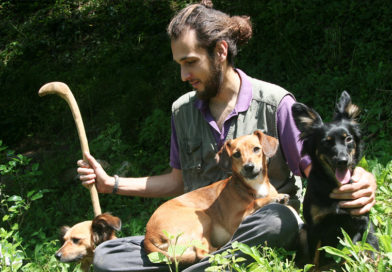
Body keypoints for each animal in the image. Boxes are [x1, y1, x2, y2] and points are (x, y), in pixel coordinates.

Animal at [144, 131, 288, 264]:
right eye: (236, 154)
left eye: (256, 149)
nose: (249, 167)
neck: (252, 186)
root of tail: (148, 236)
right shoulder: (235, 221)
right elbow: (255, 202)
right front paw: (275, 198)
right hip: (202, 218)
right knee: (203, 253)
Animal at [292, 91, 378, 268]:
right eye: (326, 142)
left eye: (348, 139)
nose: (342, 161)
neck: (336, 184)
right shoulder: (314, 227)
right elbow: (314, 261)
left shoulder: (358, 224)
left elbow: (350, 253)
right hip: (303, 231)